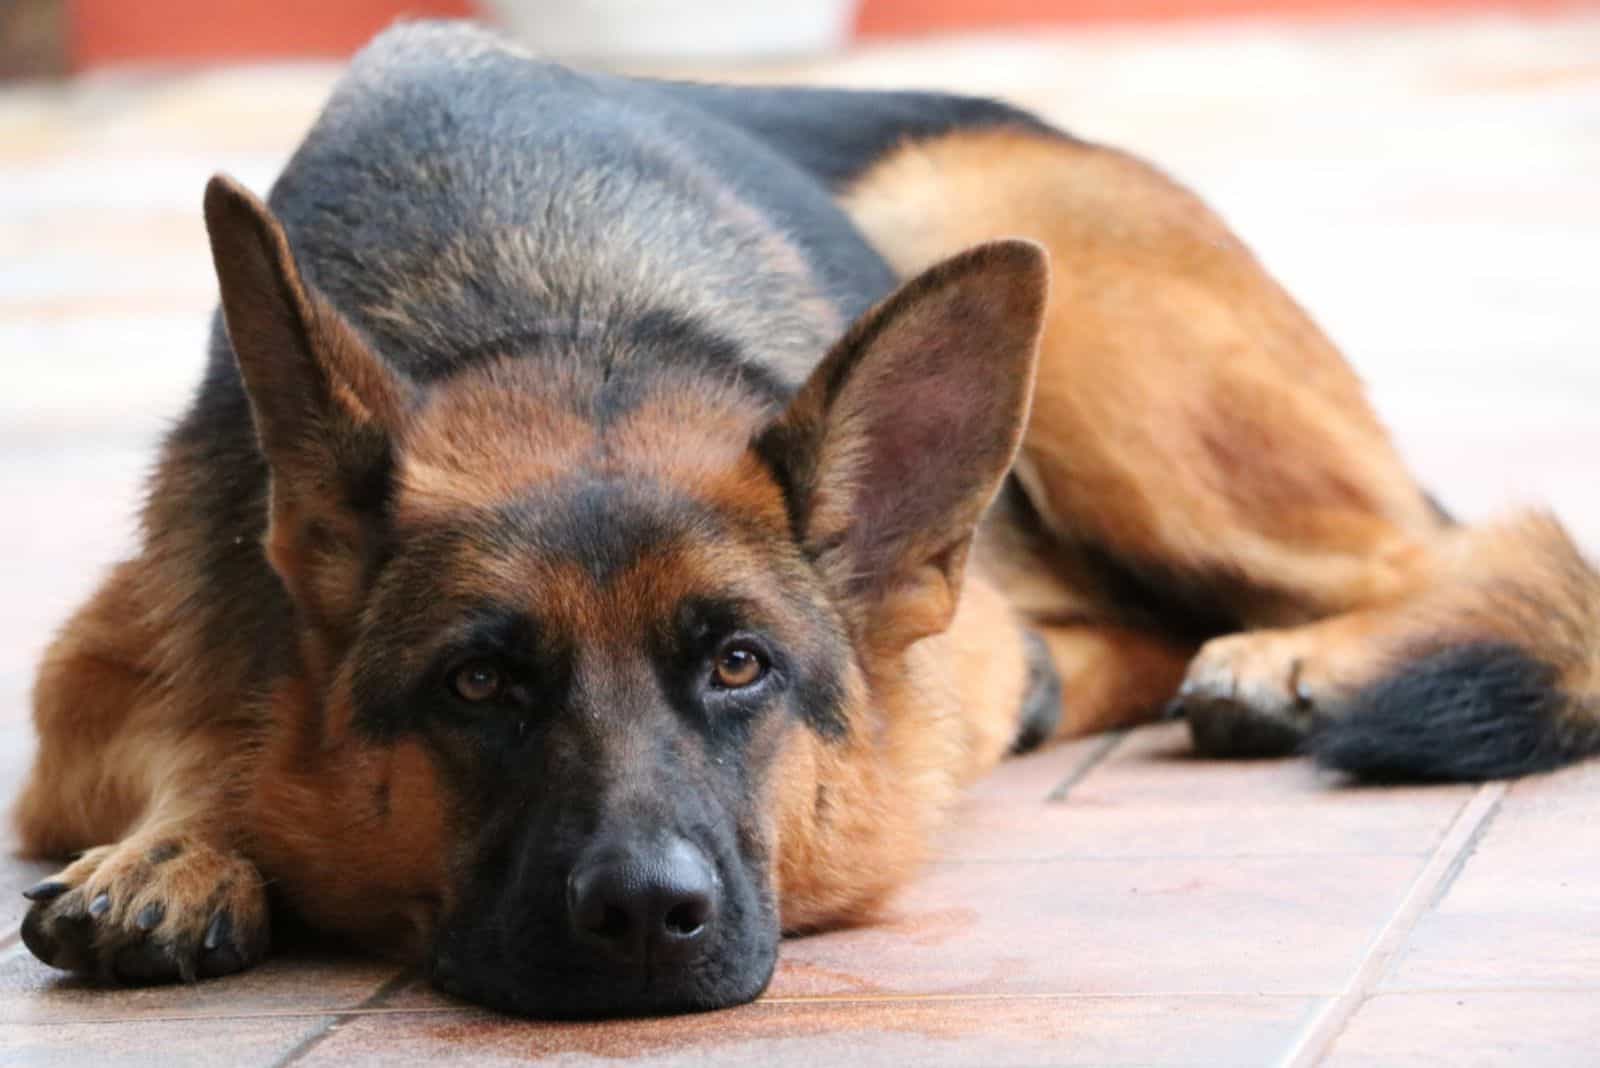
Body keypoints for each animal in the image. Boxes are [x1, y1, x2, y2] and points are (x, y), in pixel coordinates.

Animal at [15, 18, 1600, 1016]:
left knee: (1461, 553)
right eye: (477, 684)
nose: (641, 917)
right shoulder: (85, 683)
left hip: (1068, 319)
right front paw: (180, 846)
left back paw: (1297, 661)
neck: (564, 317)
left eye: (740, 667)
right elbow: (196, 734)